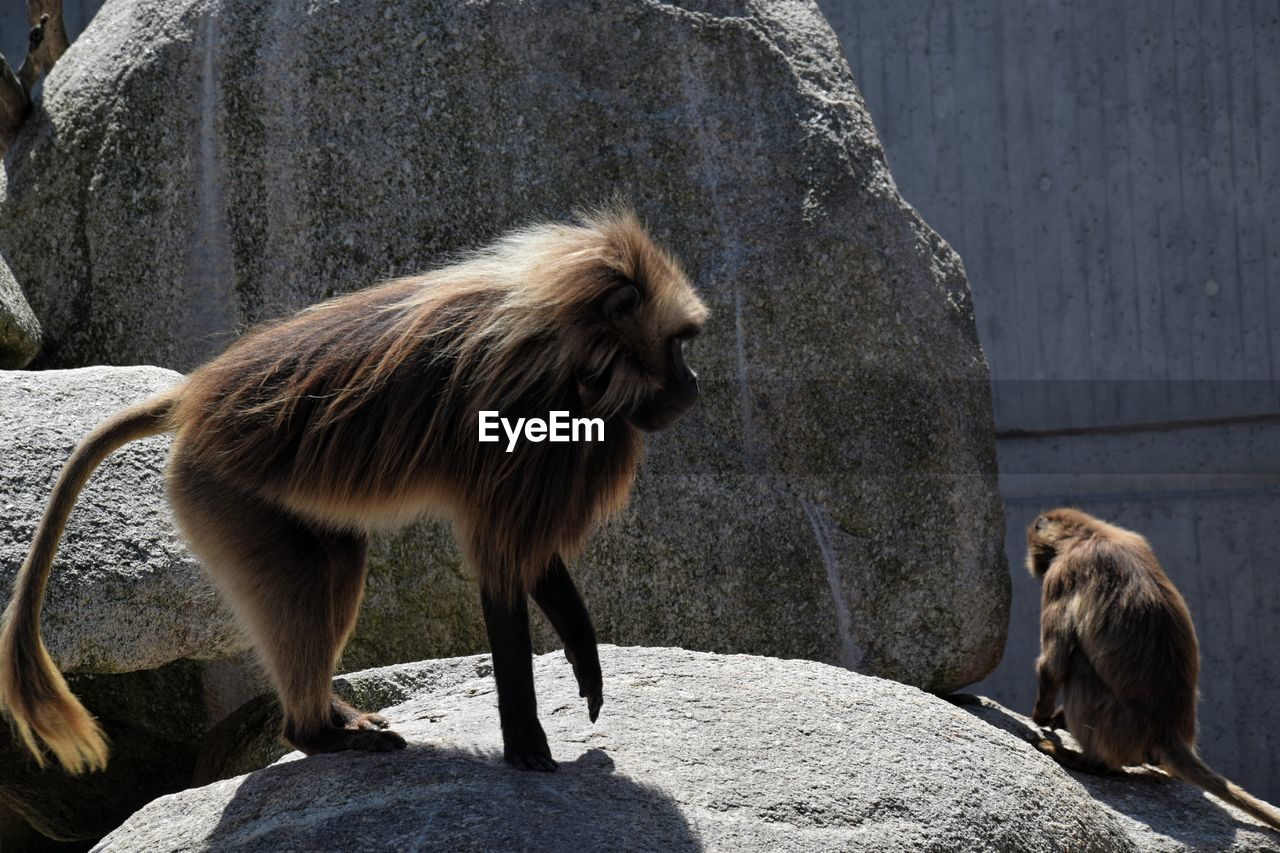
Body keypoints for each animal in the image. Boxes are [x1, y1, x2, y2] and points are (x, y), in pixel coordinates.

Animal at [0, 206, 711, 768]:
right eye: (677, 345)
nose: (695, 383)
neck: (568, 342)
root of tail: (193, 399)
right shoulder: (518, 421)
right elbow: (502, 570)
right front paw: (527, 745)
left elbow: (530, 564)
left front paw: (586, 662)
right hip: (218, 491)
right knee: (309, 579)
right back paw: (318, 734)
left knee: (334, 565)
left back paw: (335, 716)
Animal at [1029, 507, 1280, 824]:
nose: (1032, 564)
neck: (1092, 534)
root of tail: (1169, 731)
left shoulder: (1063, 574)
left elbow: (1054, 664)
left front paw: (1041, 716)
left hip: (1118, 730)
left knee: (1078, 667)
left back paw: (1092, 762)